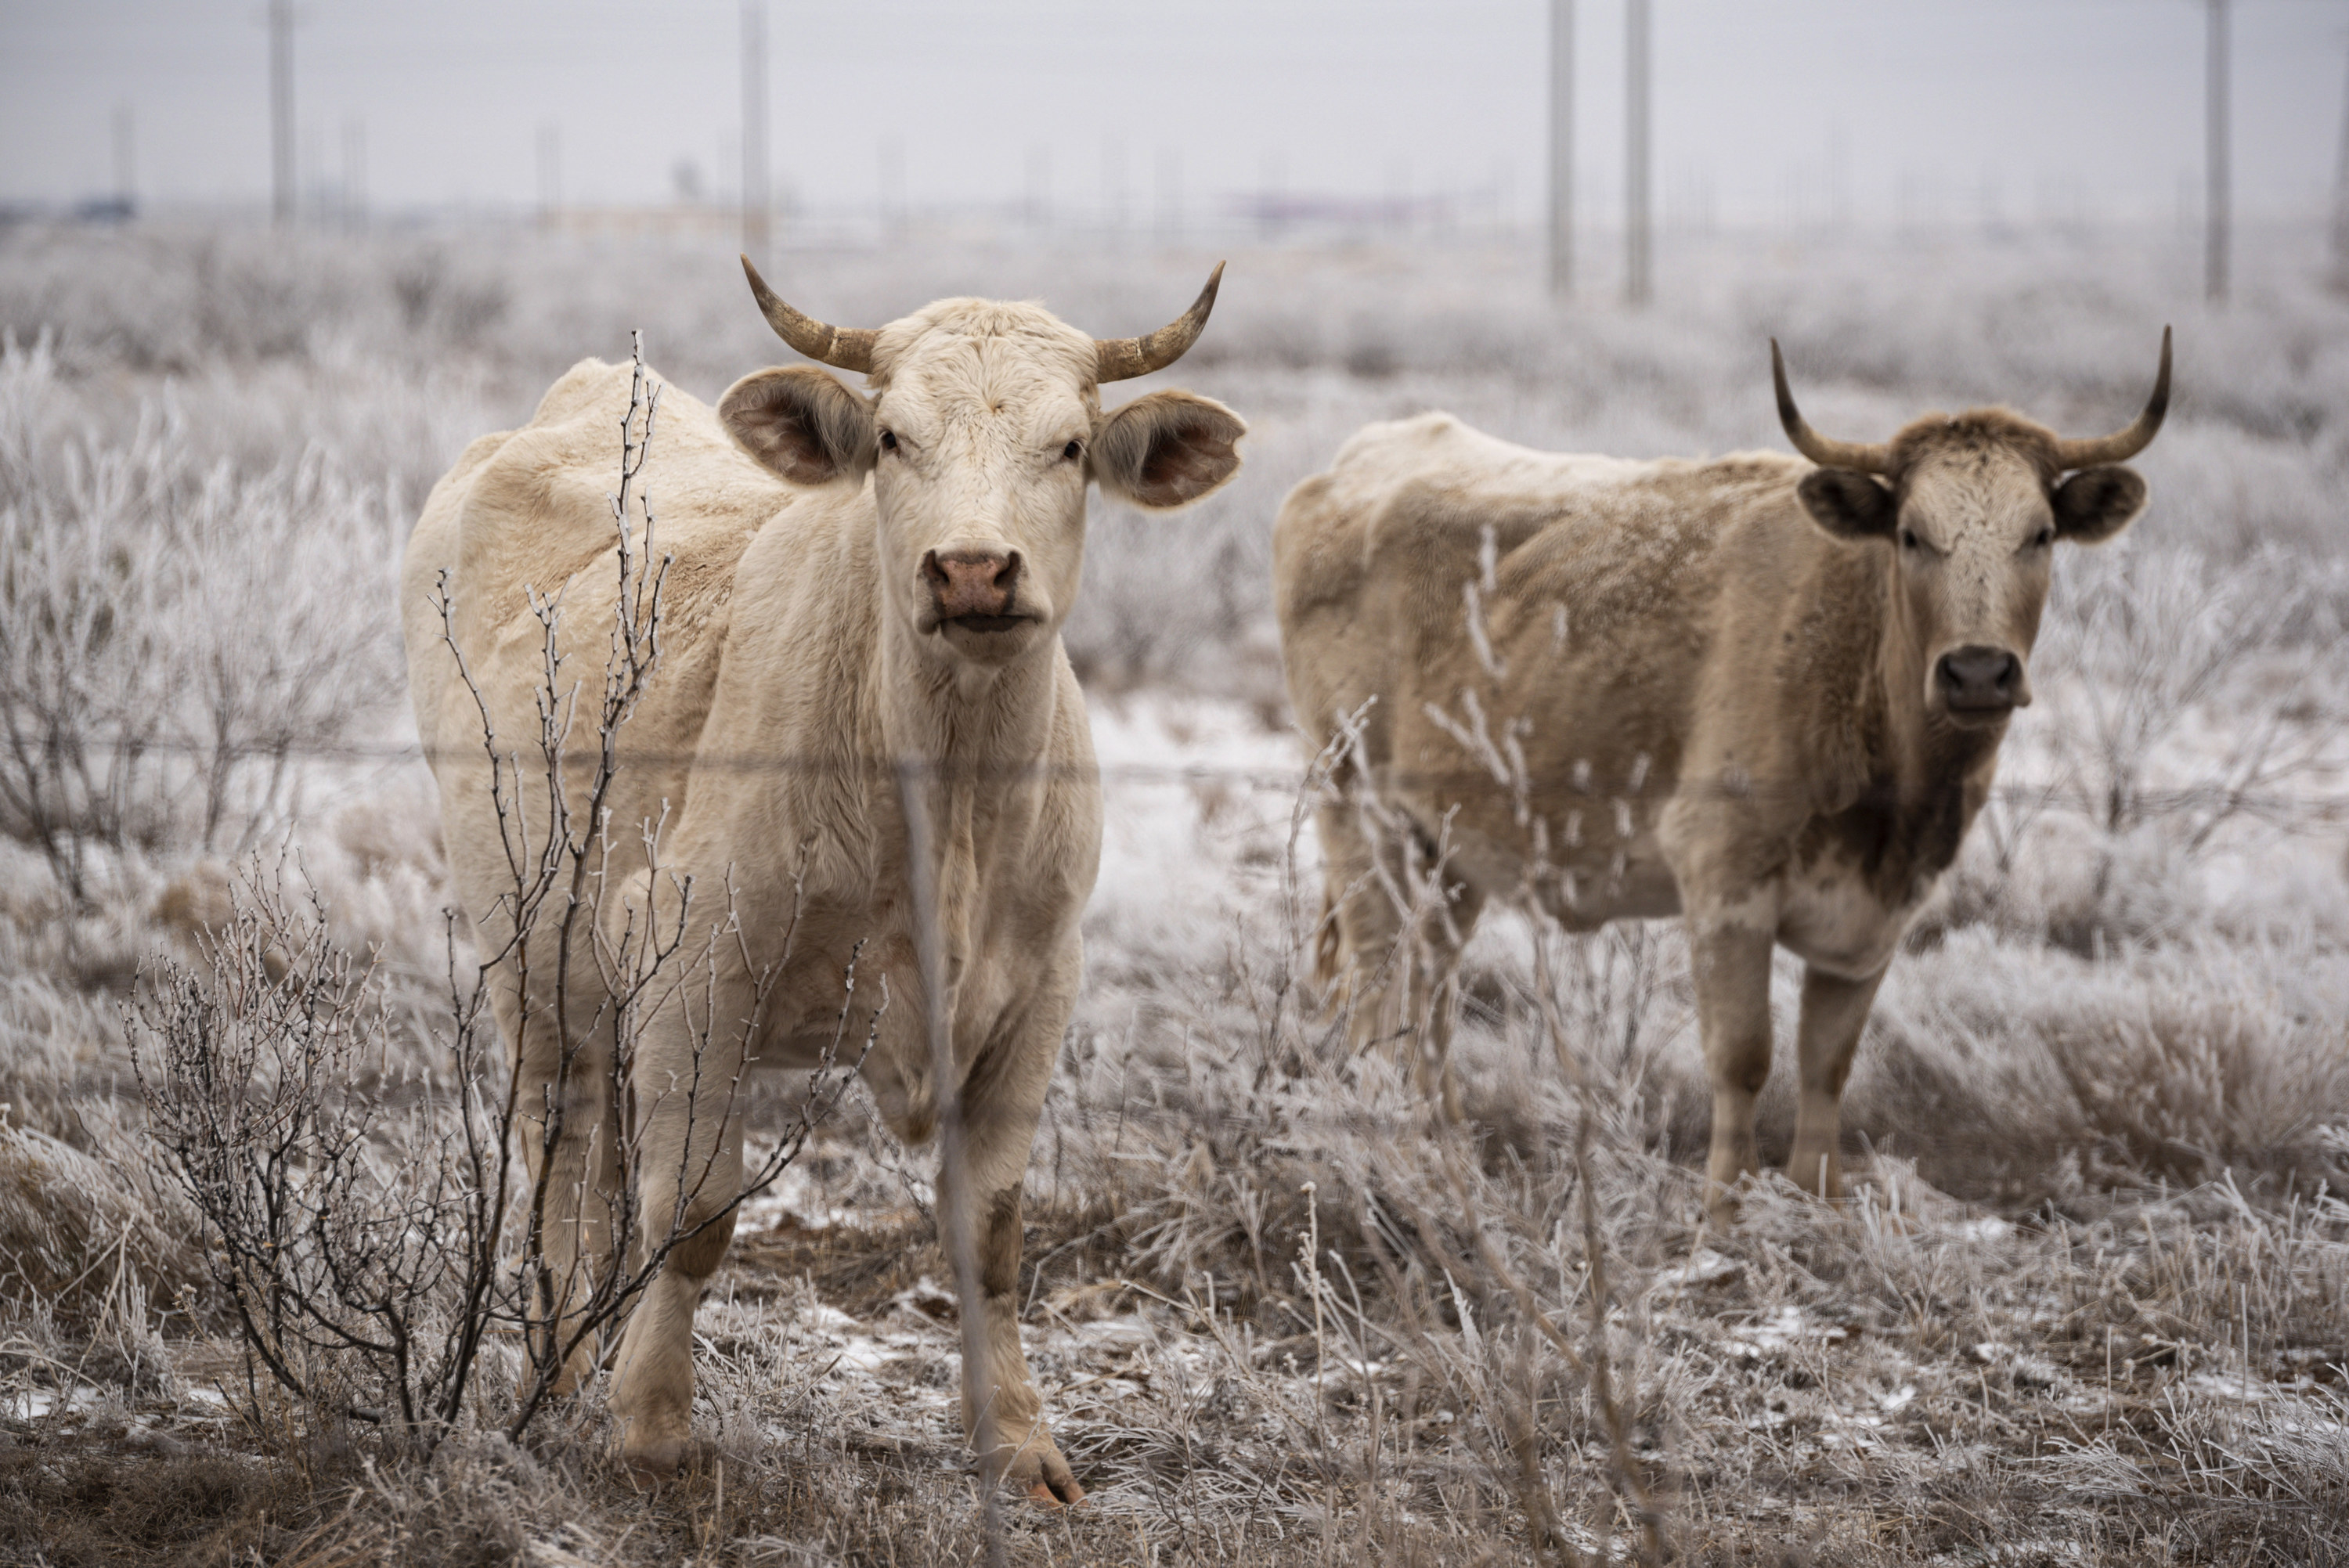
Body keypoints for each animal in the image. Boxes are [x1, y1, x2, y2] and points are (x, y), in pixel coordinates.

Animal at [404, 260, 1250, 1493]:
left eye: (1070, 446)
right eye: (893, 437)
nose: (973, 568)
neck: (946, 796)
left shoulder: (1038, 989)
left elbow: (990, 1235)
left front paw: (1021, 1442)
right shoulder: (696, 973)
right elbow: (696, 1212)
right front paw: (652, 1424)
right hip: (529, 952)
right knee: (558, 1148)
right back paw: (558, 1365)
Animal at [1278, 328, 2170, 1211]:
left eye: (2040, 534)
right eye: (1912, 534)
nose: (1978, 671)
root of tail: (1345, 470)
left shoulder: (1873, 920)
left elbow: (1826, 1065)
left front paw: (1818, 1202)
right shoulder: (1725, 884)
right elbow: (1744, 1057)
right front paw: (1721, 1212)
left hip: (1451, 855)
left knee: (1428, 996)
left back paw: (1450, 1152)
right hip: (1360, 819)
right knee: (1377, 988)